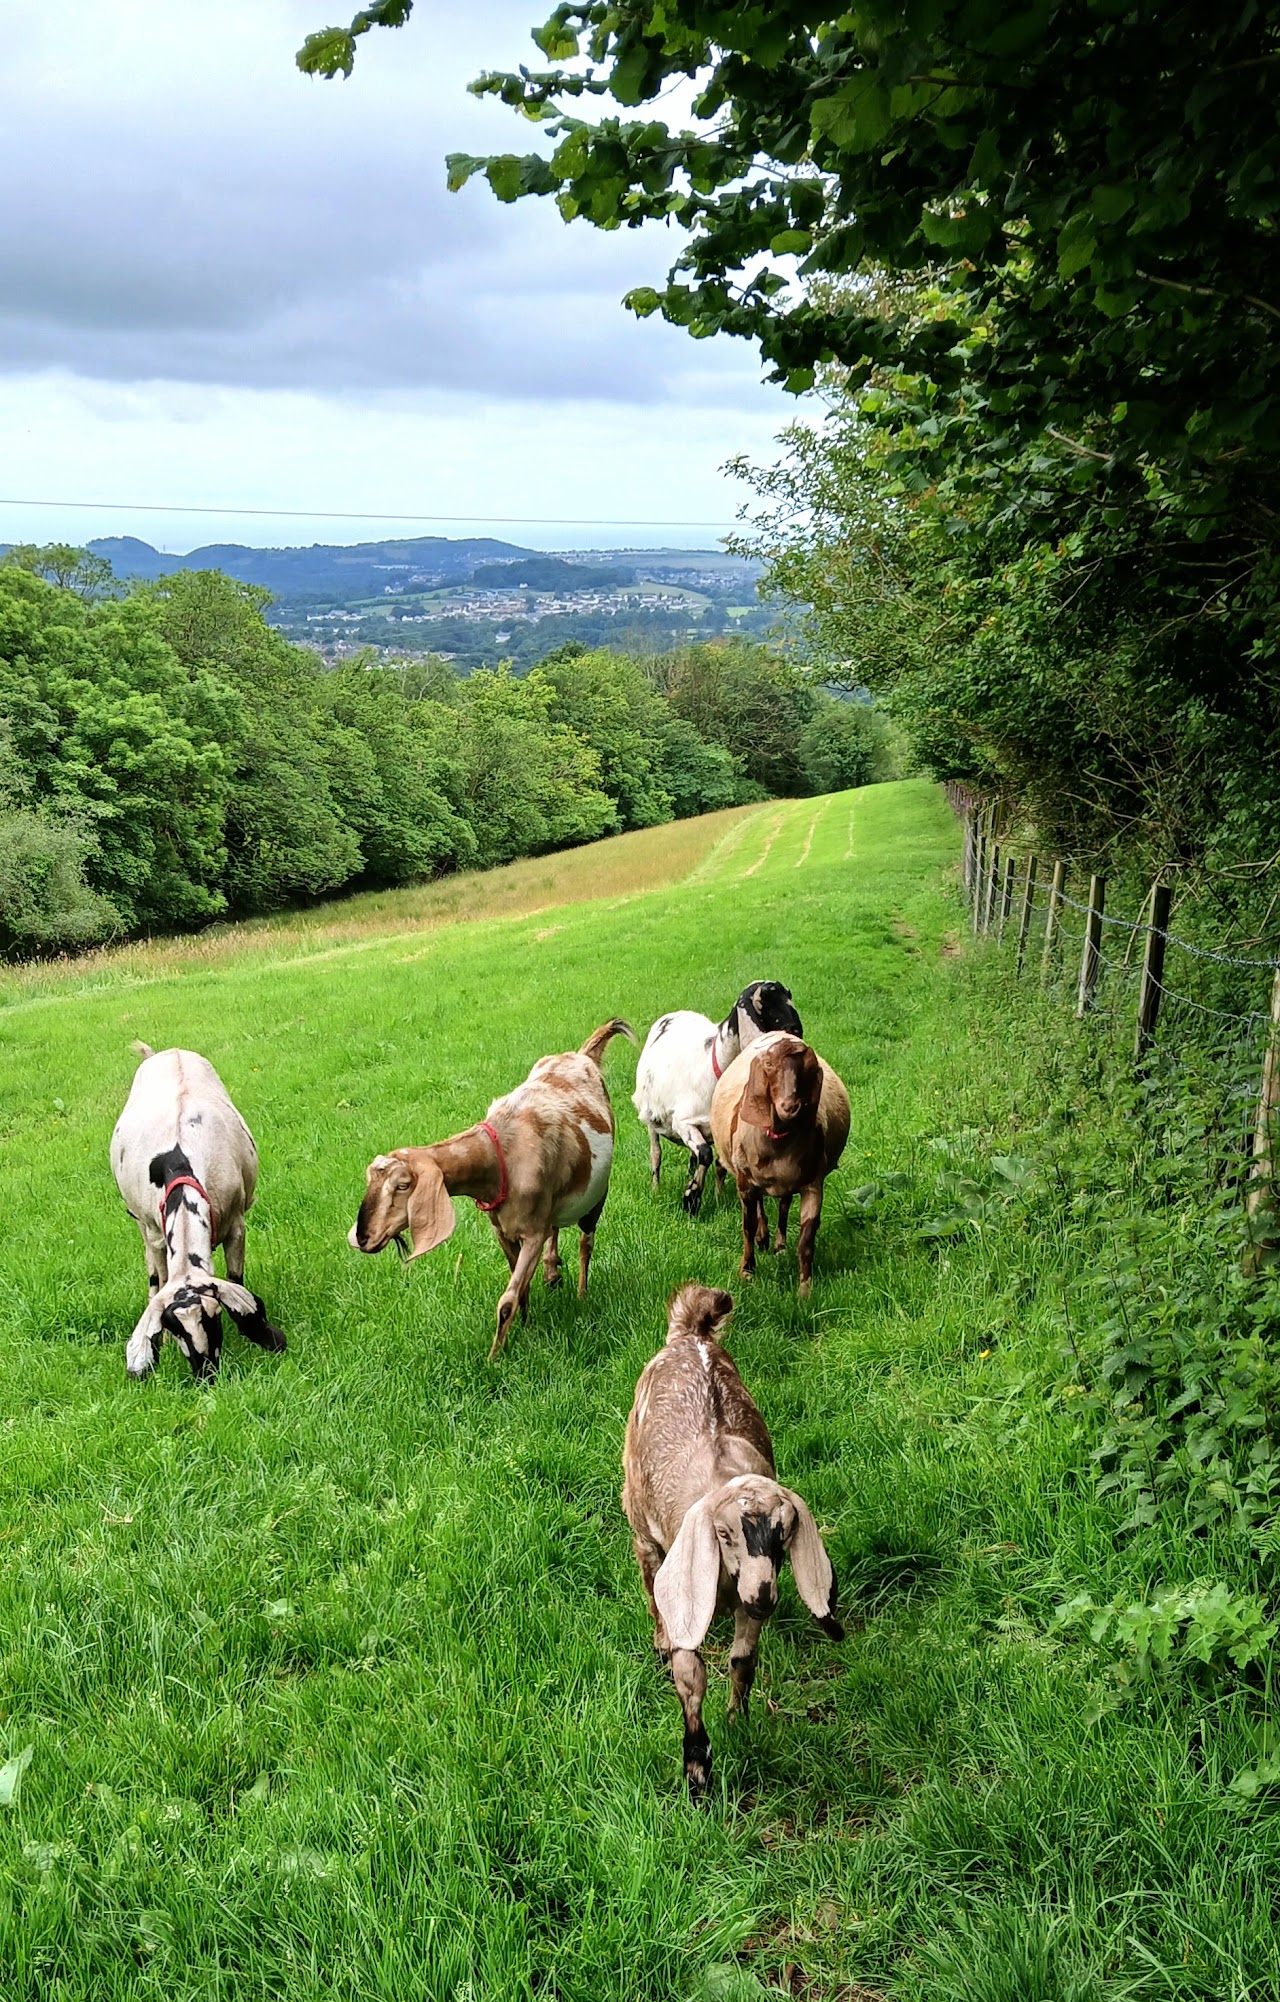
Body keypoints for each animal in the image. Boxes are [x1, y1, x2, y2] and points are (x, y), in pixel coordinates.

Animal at [112, 1045, 284, 1380]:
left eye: (213, 1316)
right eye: (174, 1326)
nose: (205, 1373)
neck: (180, 1167)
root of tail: (167, 1052)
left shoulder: (236, 1225)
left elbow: (236, 1277)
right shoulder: (156, 1233)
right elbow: (162, 1280)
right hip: (142, 1226)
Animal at [349, 1017, 637, 1360]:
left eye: (402, 1185)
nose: (363, 1237)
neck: (501, 1155)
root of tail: (582, 1056)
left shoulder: (531, 1233)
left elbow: (507, 1300)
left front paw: (494, 1357)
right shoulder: (502, 1229)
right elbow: (521, 1288)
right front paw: (527, 1326)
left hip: (597, 1195)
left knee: (585, 1243)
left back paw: (581, 1294)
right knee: (556, 1227)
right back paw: (552, 1272)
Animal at [622, 1284, 842, 1799]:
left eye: (786, 1531)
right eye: (722, 1533)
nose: (764, 1598)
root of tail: (690, 1334)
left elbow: (743, 1661)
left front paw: (738, 1722)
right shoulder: (688, 1594)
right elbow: (690, 1675)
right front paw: (697, 1771)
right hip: (641, 1523)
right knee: (649, 1583)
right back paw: (658, 1643)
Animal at [632, 981, 803, 1215]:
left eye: (789, 997)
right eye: (763, 1002)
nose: (795, 1030)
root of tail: (675, 1014)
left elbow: (720, 1165)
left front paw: (718, 1197)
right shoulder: (682, 1122)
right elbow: (705, 1154)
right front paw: (691, 1199)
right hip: (650, 1116)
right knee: (656, 1153)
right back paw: (656, 1189)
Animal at [710, 1031, 850, 1296]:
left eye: (808, 1068)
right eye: (768, 1065)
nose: (789, 1107)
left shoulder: (813, 1185)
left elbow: (806, 1240)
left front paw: (805, 1290)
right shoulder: (745, 1182)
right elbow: (748, 1226)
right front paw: (747, 1271)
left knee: (784, 1205)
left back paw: (779, 1245)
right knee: (761, 1206)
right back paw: (763, 1239)